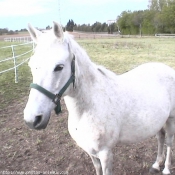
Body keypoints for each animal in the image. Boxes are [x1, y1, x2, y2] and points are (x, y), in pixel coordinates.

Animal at [23, 22, 175, 175]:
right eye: (31, 65)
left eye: (59, 67)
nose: (32, 119)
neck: (89, 107)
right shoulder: (91, 152)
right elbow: (97, 168)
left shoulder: (105, 153)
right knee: (160, 138)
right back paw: (156, 165)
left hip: (170, 119)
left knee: (169, 141)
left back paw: (166, 169)